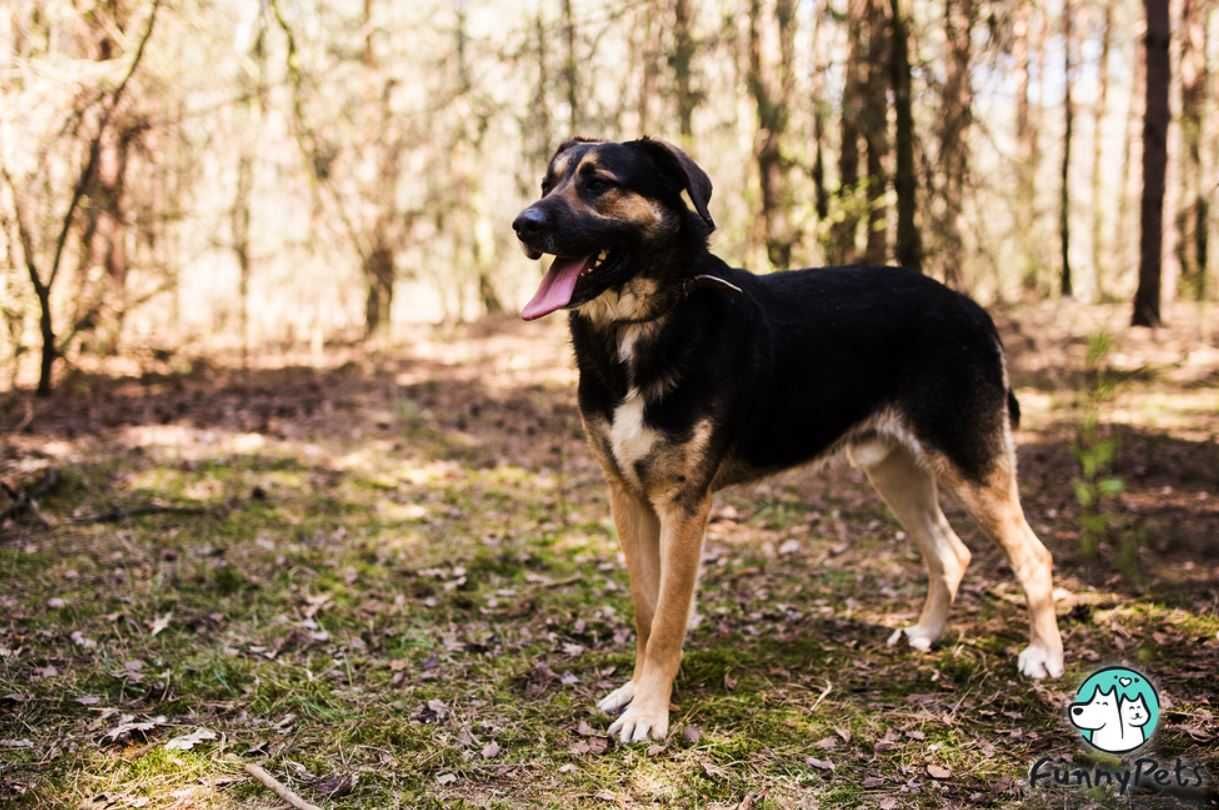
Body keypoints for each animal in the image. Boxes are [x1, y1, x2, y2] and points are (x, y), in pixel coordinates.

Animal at [509, 137, 1062, 741]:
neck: (643, 324)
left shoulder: (684, 507)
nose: (522, 225)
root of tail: (971, 307)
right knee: (951, 552)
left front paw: (650, 712)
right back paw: (926, 633)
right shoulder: (627, 496)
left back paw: (1044, 656)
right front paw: (636, 692)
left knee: (1034, 555)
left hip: (970, 463)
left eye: (598, 184)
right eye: (547, 184)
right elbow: (645, 611)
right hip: (894, 469)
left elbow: (669, 619)